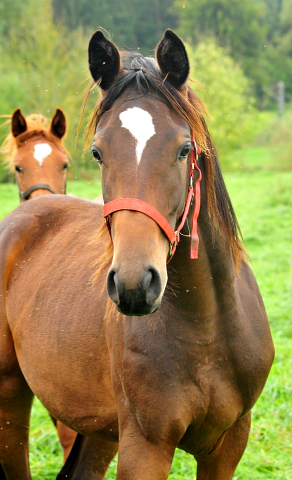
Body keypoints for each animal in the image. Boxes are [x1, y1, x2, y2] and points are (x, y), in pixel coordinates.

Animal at [0, 31, 274, 480]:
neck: (208, 330)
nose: (134, 284)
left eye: (184, 149)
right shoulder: (145, 448)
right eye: (98, 153)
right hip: (12, 397)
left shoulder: (227, 446)